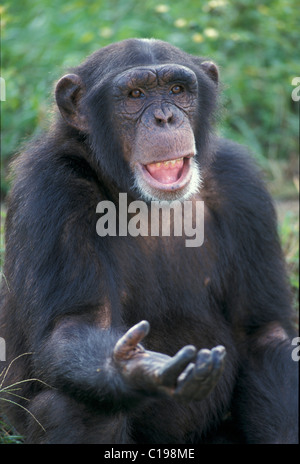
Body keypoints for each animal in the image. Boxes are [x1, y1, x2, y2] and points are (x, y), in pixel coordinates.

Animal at [0, 38, 298, 444]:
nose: (164, 118)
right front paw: (133, 368)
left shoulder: (242, 186)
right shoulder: (49, 187)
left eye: (177, 90)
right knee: (79, 406)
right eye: (135, 95)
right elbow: (73, 325)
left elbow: (264, 334)